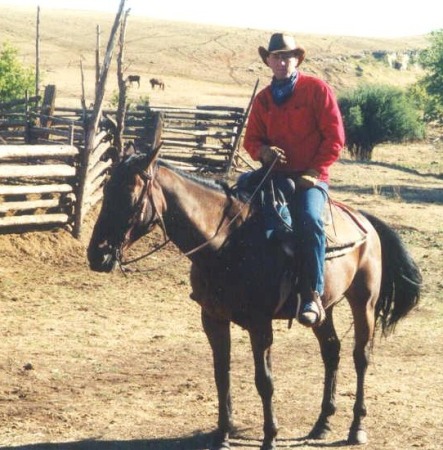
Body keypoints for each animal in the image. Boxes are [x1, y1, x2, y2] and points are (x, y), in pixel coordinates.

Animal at [87, 148, 424, 450]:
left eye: (130, 197)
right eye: (106, 191)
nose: (96, 255)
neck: (228, 243)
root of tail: (364, 220)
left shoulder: (260, 324)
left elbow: (265, 381)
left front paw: (270, 437)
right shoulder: (212, 318)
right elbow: (221, 375)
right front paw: (222, 435)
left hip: (363, 302)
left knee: (361, 357)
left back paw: (356, 428)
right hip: (322, 307)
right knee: (331, 351)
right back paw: (321, 424)